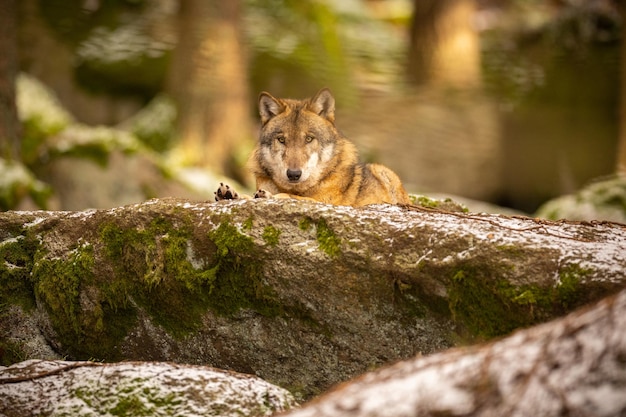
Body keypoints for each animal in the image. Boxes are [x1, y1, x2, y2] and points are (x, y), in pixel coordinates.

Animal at [214, 88, 410, 206]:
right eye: (281, 140)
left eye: (309, 139)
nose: (294, 174)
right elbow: (249, 196)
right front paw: (231, 194)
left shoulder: (328, 203)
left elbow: (297, 198)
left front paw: (272, 196)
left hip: (384, 172)